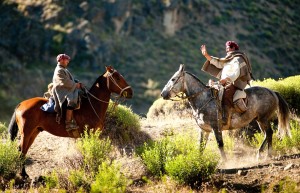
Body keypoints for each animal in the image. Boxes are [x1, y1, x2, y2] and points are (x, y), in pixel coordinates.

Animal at [162, 64, 290, 160]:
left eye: (173, 79)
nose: (163, 94)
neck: (204, 99)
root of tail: (273, 92)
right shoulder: (204, 130)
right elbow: (201, 147)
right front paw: (198, 162)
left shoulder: (216, 128)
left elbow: (220, 145)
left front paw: (225, 162)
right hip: (259, 120)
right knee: (266, 134)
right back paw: (259, 154)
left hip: (263, 119)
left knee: (269, 133)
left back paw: (268, 155)